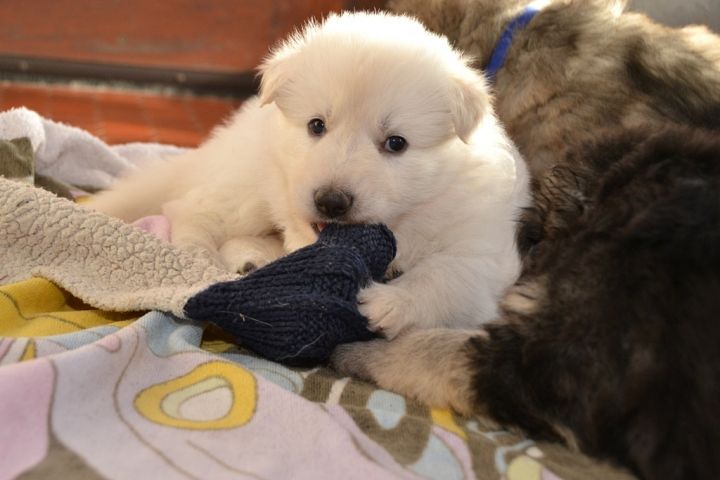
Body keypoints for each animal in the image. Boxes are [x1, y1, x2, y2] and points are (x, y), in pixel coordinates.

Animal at [87, 11, 530, 339]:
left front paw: (388, 304)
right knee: (189, 208)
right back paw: (199, 253)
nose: (330, 202)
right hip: (249, 188)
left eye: (396, 143)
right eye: (317, 125)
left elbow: (445, 277)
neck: (409, 219)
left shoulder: (481, 252)